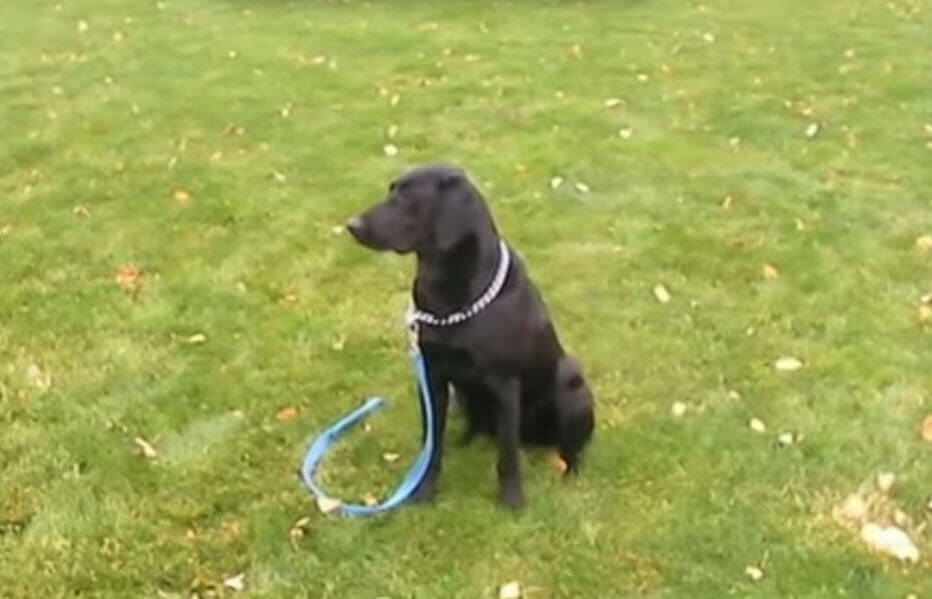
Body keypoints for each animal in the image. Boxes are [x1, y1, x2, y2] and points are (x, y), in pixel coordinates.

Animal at [346, 162, 592, 508]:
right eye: (391, 190)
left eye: (406, 197)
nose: (351, 225)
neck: (449, 298)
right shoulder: (432, 376)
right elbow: (431, 445)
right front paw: (423, 490)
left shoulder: (505, 385)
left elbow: (507, 456)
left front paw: (512, 501)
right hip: (463, 397)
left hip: (571, 383)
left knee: (566, 445)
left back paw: (570, 470)